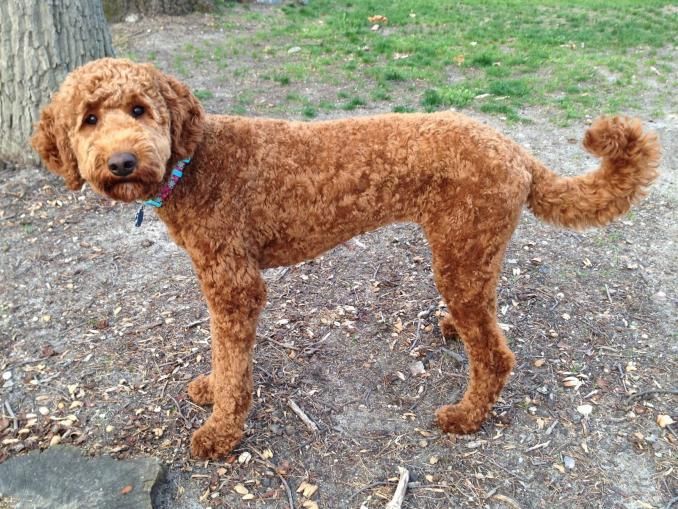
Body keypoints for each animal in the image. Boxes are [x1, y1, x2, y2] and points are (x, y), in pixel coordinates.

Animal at [33, 57, 664, 458]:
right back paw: (452, 330)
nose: (121, 163)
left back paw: (465, 416)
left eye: (140, 109)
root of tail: (516, 151)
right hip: (473, 254)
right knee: (485, 318)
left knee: (497, 354)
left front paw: (220, 431)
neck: (194, 163)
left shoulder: (234, 284)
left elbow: (234, 362)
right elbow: (222, 357)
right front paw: (212, 391)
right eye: (89, 119)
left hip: (459, 253)